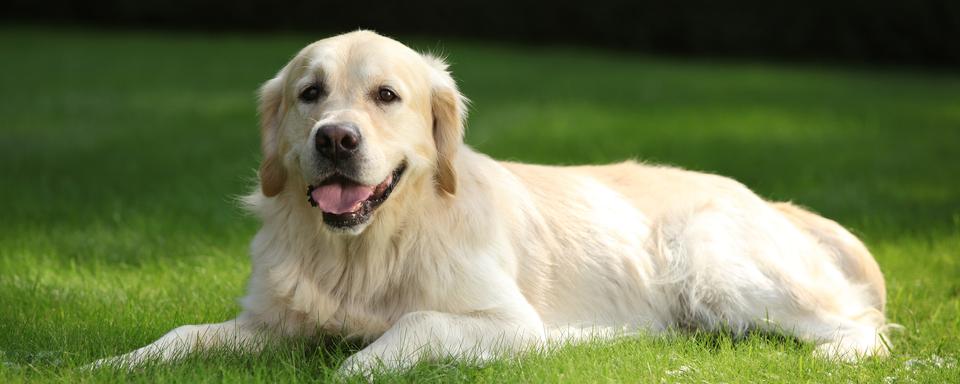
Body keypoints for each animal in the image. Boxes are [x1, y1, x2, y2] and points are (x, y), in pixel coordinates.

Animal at [90, 30, 892, 378]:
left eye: (387, 95)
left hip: (716, 263)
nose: (336, 138)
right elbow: (182, 335)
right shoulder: (270, 323)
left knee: (863, 330)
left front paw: (354, 367)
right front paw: (113, 362)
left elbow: (411, 326)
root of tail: (768, 200)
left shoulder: (507, 323)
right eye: (309, 93)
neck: (368, 244)